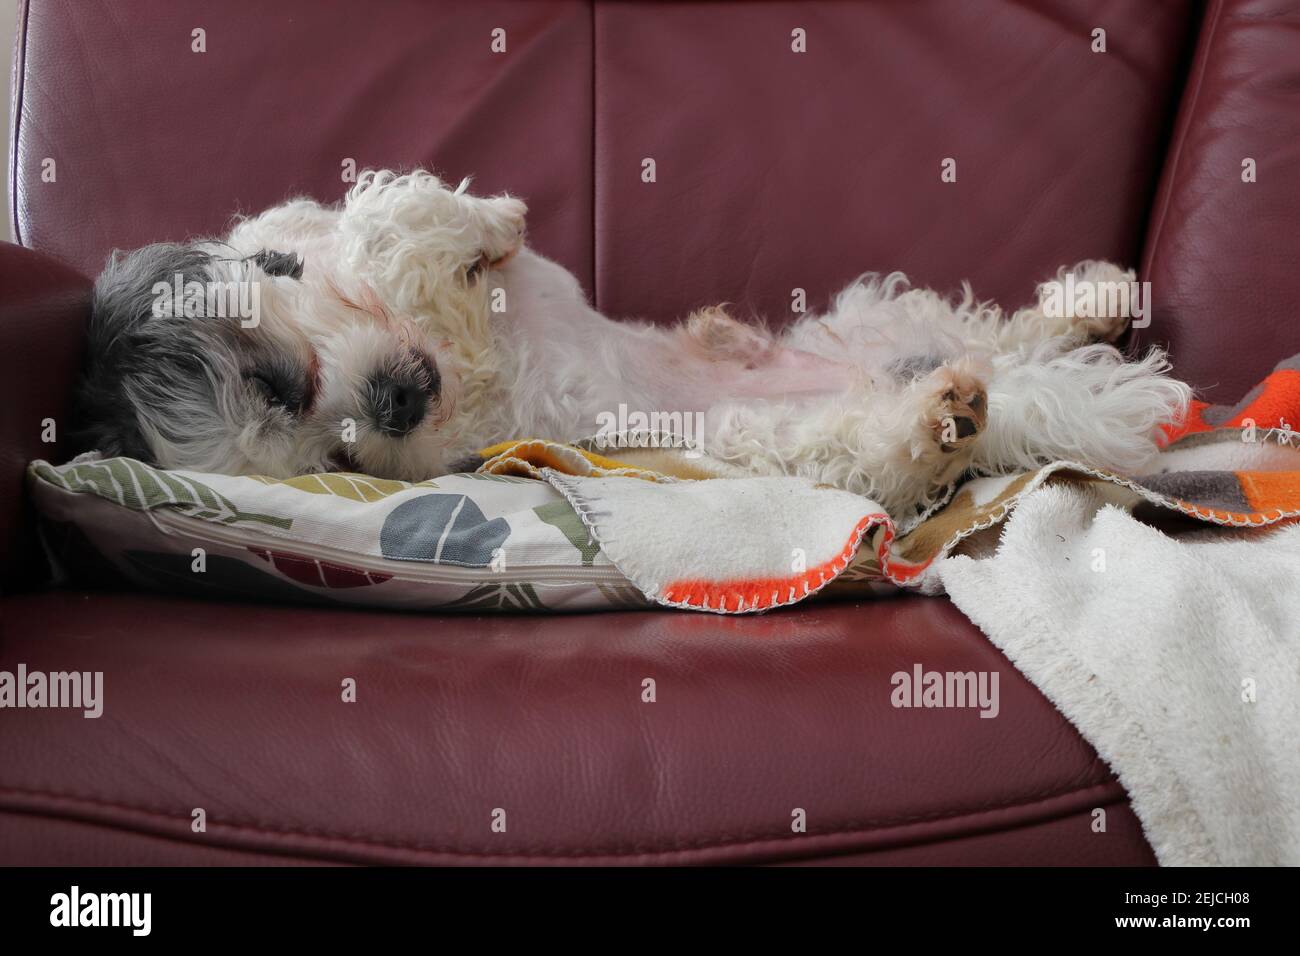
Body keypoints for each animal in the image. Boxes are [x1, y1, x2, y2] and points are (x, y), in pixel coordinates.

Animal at [71, 167, 1190, 520]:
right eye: (328, 453)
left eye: (288, 387)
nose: (388, 409)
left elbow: (393, 220)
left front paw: (486, 226)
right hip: (782, 439)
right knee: (899, 438)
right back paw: (939, 417)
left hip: (881, 315)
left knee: (1000, 324)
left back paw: (1094, 295)